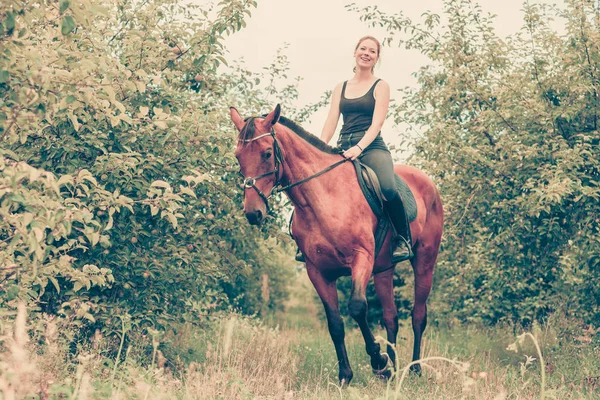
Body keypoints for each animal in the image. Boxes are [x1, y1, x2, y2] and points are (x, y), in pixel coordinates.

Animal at [229, 104, 440, 384]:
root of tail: (427, 182)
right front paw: (346, 375)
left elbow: (357, 307)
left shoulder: (361, 258)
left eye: (266, 153)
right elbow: (335, 323)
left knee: (418, 316)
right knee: (391, 317)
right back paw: (394, 371)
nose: (253, 213)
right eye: (238, 156)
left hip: (425, 261)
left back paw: (414, 369)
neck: (324, 197)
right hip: (384, 268)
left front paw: (378, 360)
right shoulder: (317, 271)